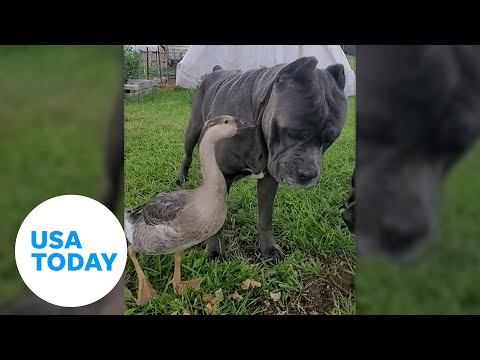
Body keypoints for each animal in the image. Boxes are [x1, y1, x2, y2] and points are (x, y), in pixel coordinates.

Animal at [174, 56, 346, 260]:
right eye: (293, 132)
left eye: (330, 140)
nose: (309, 174)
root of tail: (217, 70)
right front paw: (215, 251)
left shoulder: (269, 180)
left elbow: (265, 217)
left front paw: (268, 249)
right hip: (193, 129)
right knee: (187, 155)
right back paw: (181, 178)